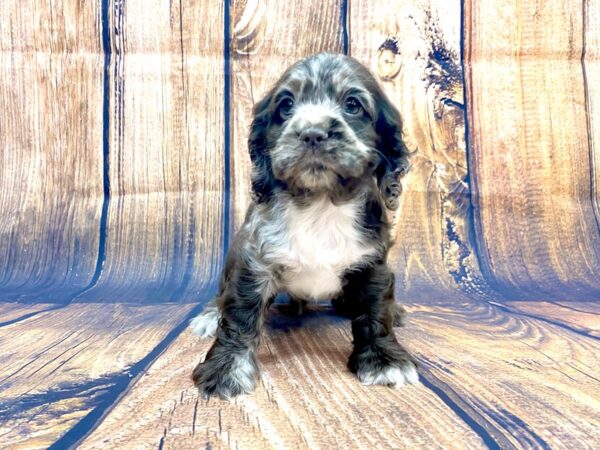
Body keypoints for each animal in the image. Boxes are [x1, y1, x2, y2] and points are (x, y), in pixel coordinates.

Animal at [190, 51, 414, 400]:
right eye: (286, 105)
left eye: (352, 104)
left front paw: (384, 360)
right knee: (223, 295)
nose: (312, 133)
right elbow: (239, 318)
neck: (320, 204)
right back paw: (210, 314)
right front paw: (225, 369)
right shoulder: (253, 262)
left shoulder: (372, 264)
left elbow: (376, 313)